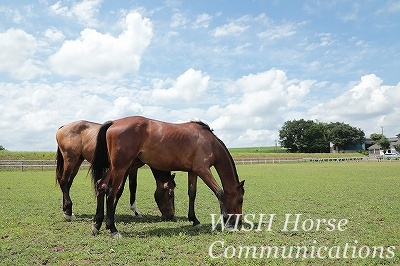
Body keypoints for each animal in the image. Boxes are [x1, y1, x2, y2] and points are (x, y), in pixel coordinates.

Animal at [91, 116, 244, 237]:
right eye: (240, 200)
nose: (240, 221)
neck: (208, 141)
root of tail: (114, 122)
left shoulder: (193, 172)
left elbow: (192, 194)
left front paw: (194, 220)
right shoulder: (203, 170)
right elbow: (220, 192)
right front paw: (227, 223)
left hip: (114, 168)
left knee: (101, 185)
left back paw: (97, 225)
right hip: (121, 167)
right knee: (111, 192)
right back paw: (112, 229)